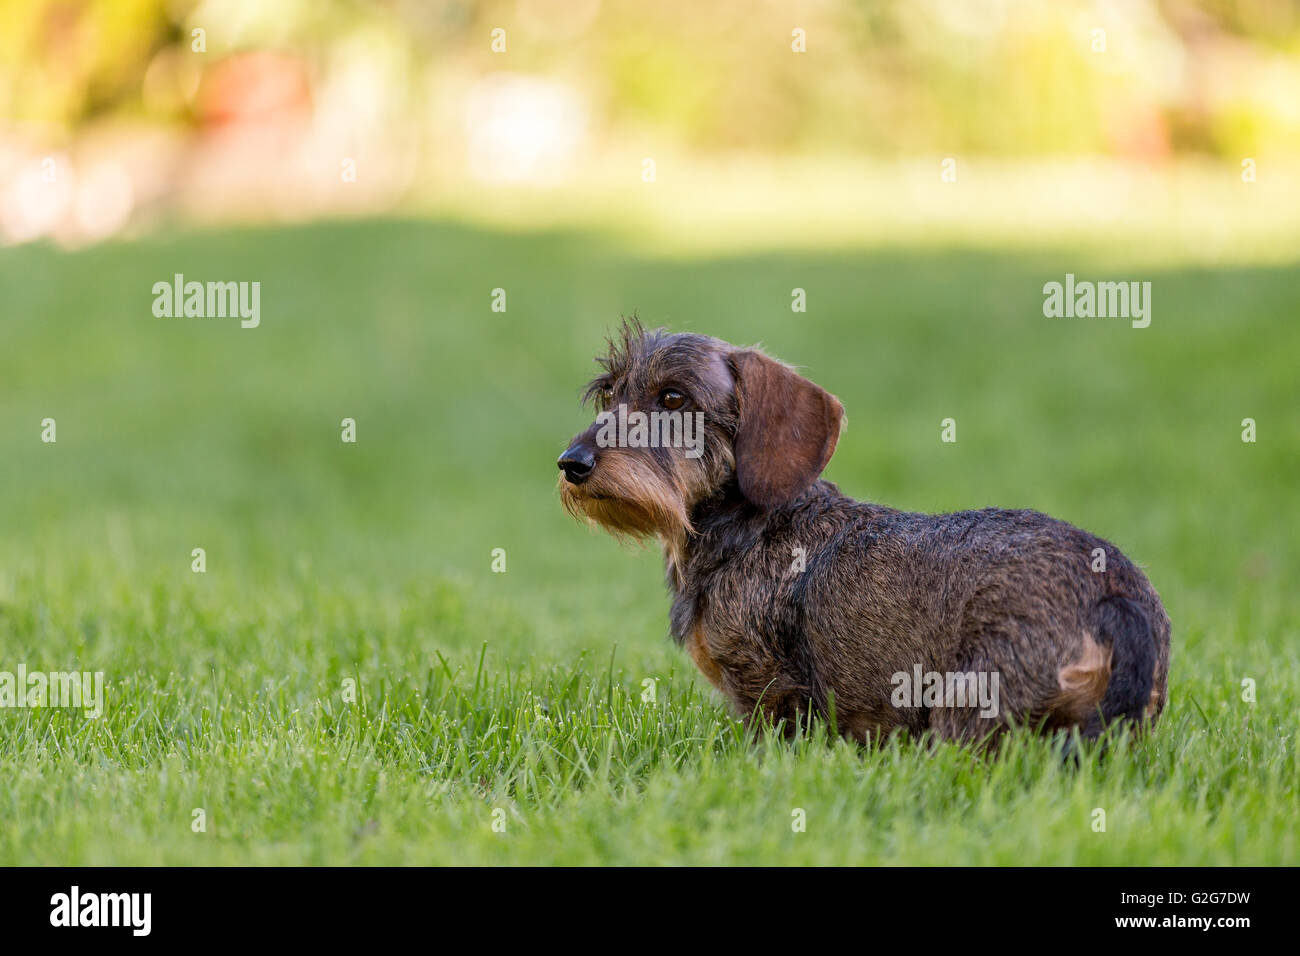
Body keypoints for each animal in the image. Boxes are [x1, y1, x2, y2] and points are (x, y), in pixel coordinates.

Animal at [556, 321, 1170, 749]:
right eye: (609, 394)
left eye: (674, 399)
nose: (571, 463)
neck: (747, 530)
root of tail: (1115, 596)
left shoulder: (768, 691)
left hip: (968, 701)